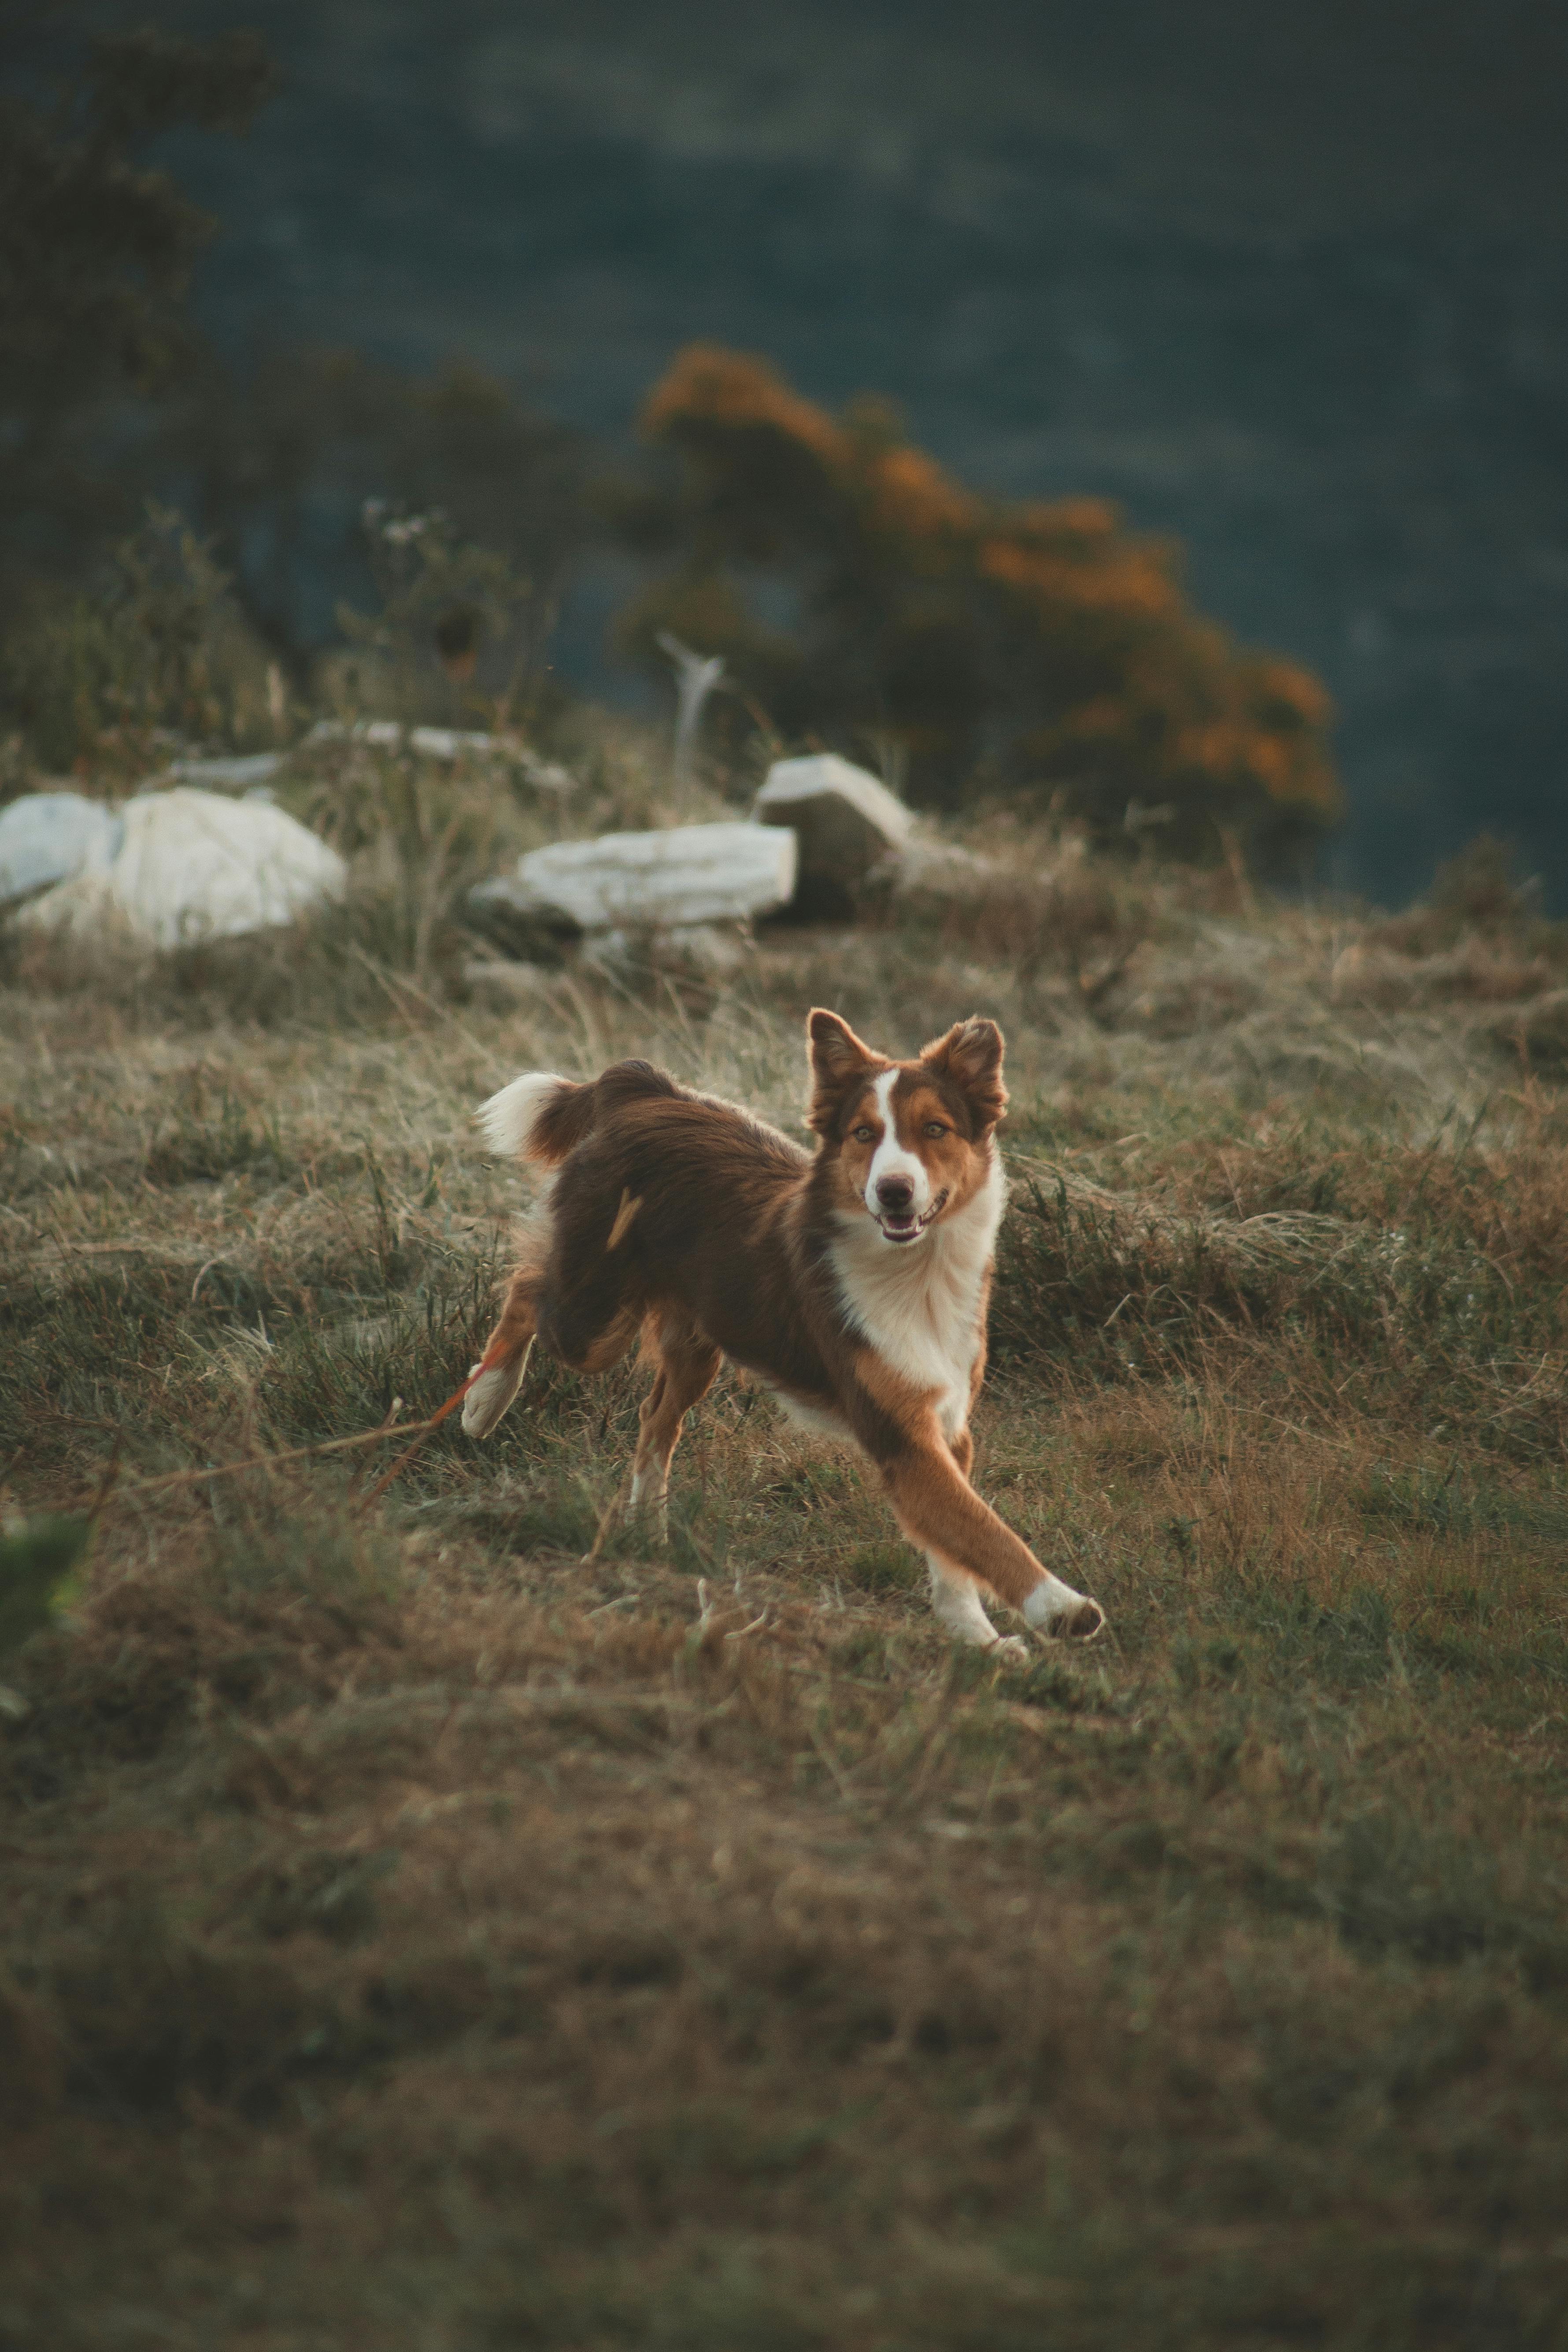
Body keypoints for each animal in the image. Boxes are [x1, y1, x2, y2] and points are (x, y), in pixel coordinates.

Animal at [463, 1011, 1105, 1656]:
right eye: (863, 1134)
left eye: (935, 1129)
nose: (893, 1191)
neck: (915, 1272)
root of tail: (643, 1090)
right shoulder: (901, 1434)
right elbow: (984, 1531)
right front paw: (1060, 1607)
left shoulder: (946, 1426)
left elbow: (956, 1551)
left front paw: (975, 1636)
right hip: (592, 1319)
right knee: (526, 1290)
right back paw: (485, 1400)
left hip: (698, 1342)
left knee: (654, 1418)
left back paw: (646, 1528)